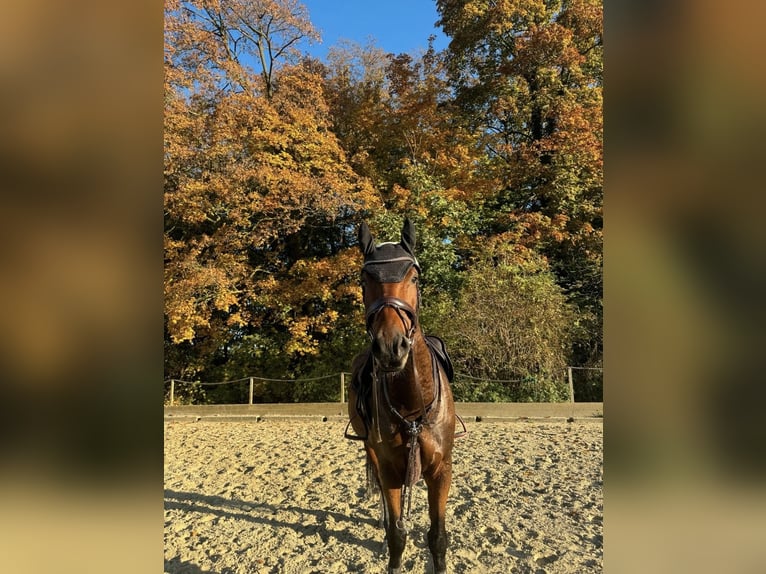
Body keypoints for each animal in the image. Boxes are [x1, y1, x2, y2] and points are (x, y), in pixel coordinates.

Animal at [345, 218, 458, 574]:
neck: (411, 402)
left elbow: (437, 537)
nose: (390, 347)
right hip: (371, 450)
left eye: (414, 277)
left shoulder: (441, 470)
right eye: (365, 279)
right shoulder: (390, 469)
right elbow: (397, 537)